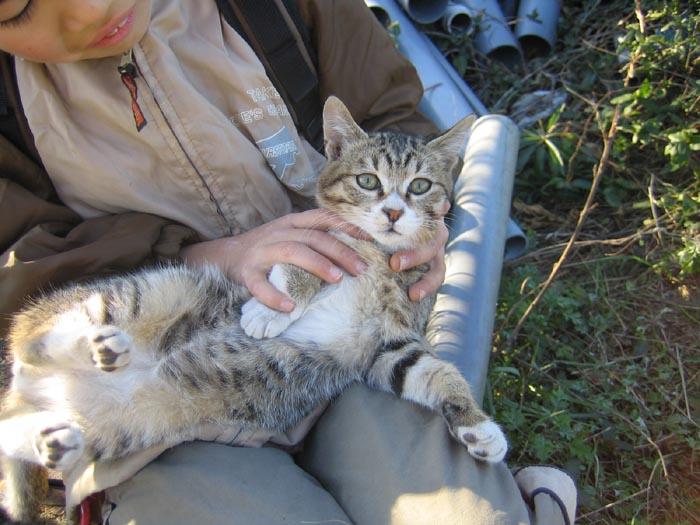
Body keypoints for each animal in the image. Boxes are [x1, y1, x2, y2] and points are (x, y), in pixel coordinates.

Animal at [0, 97, 506, 520]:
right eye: (368, 181)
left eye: (420, 185)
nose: (395, 213)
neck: (382, 259)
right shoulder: (321, 241)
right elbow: (304, 268)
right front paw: (271, 312)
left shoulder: (385, 344)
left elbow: (429, 371)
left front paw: (476, 426)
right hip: (153, 289)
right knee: (27, 337)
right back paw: (98, 345)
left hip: (114, 426)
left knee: (13, 427)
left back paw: (55, 436)